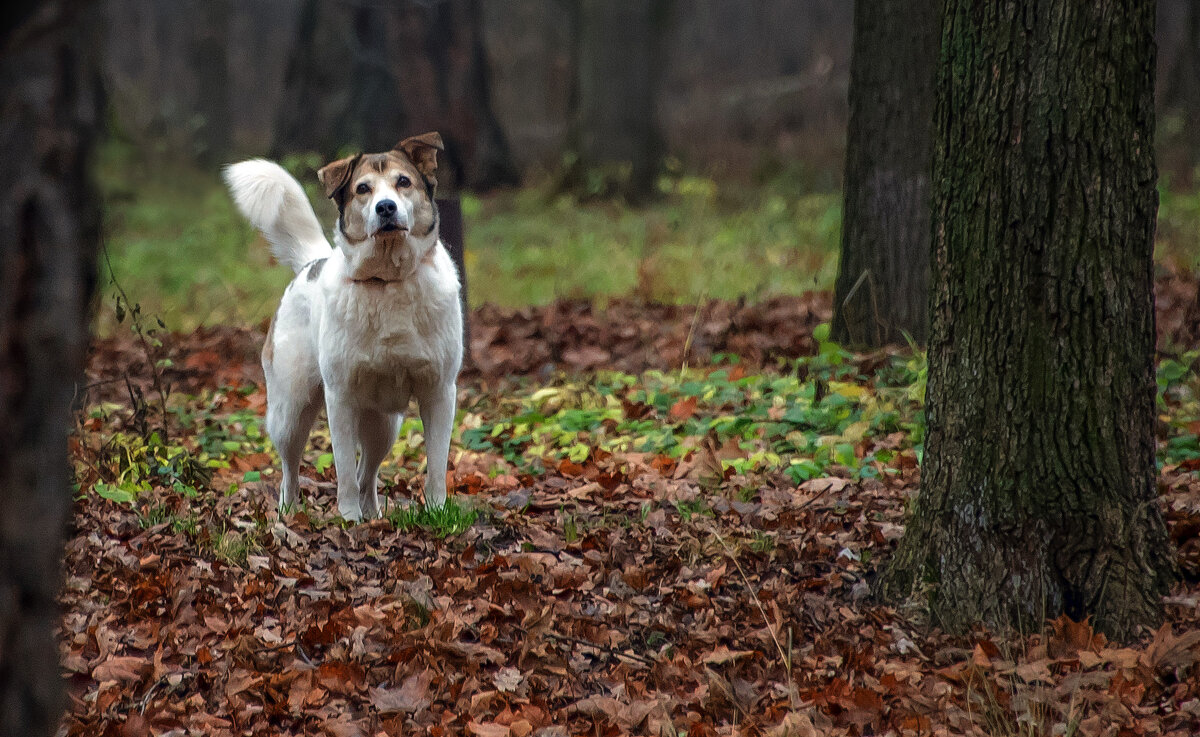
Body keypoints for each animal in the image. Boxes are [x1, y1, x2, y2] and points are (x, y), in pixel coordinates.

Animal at [223, 134, 460, 525]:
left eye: (403, 182)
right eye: (362, 188)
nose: (385, 208)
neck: (387, 281)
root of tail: (311, 263)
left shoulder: (439, 393)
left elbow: (436, 466)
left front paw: (439, 512)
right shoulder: (341, 399)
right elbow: (344, 468)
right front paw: (348, 519)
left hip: (384, 425)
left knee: (369, 473)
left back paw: (375, 514)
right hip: (290, 413)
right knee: (291, 471)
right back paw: (289, 514)